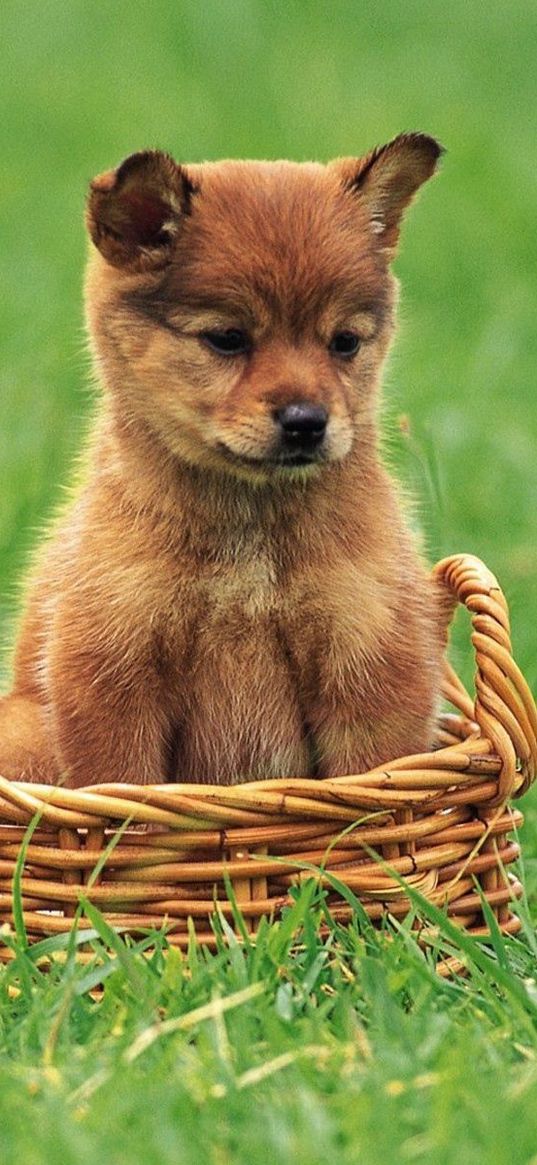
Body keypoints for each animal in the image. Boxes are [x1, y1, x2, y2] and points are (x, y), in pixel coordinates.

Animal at [1, 133, 447, 792]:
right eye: (227, 339)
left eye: (344, 342)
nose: (306, 421)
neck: (247, 533)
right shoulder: (111, 669)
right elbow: (123, 790)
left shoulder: (370, 660)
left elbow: (375, 789)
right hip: (29, 738)